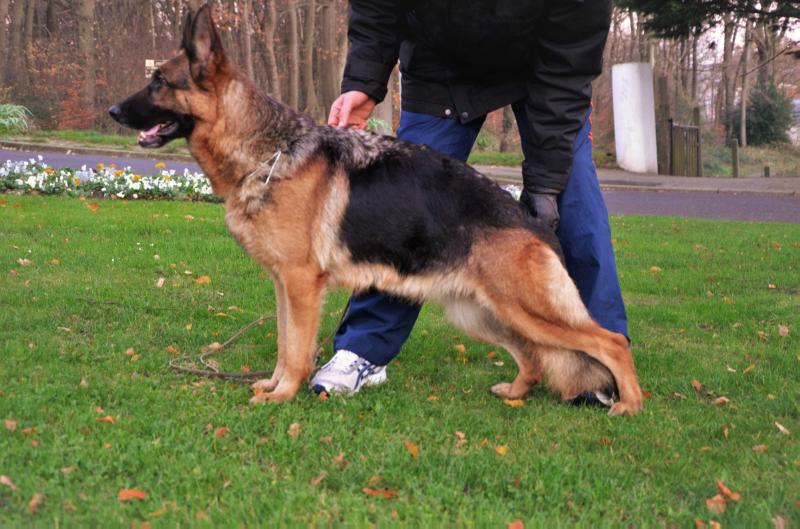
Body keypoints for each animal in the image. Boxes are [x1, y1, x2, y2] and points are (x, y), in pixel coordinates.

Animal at [109, 5, 644, 416]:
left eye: (158, 81)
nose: (113, 111)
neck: (267, 152)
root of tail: (529, 220)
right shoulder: (284, 285)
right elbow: (284, 344)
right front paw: (274, 385)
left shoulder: (302, 285)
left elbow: (297, 350)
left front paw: (284, 395)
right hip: (482, 312)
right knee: (533, 357)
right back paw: (516, 392)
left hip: (524, 308)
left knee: (610, 343)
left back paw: (629, 405)